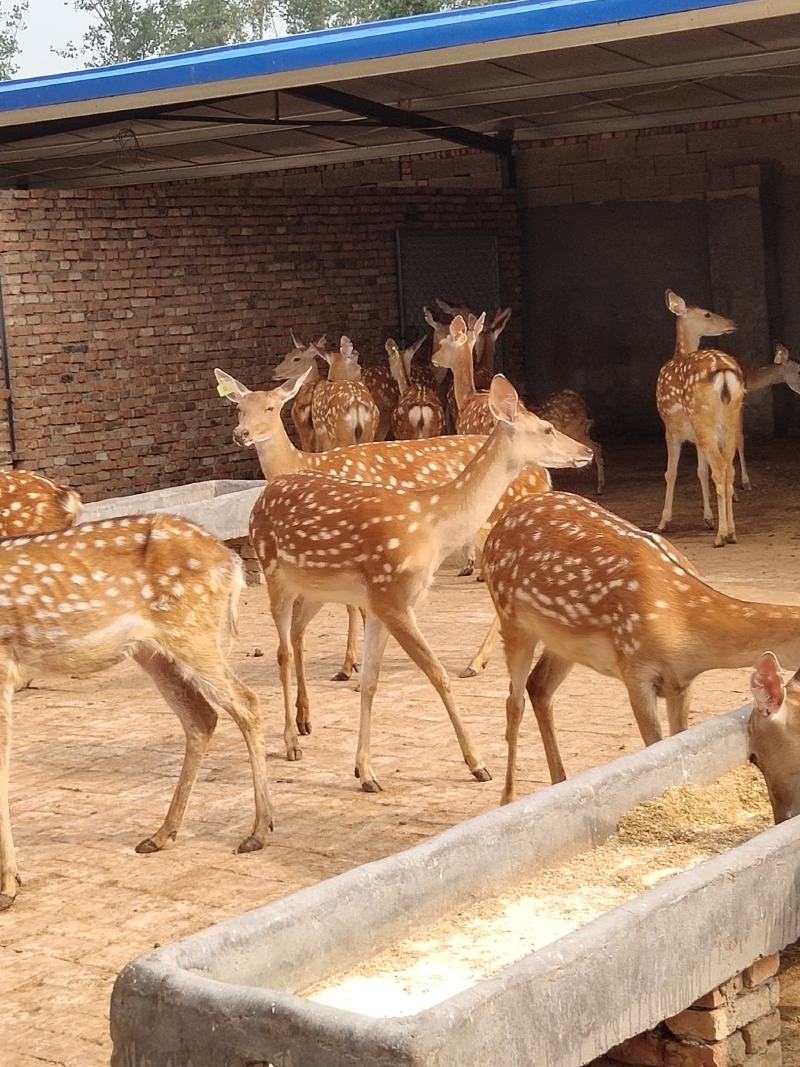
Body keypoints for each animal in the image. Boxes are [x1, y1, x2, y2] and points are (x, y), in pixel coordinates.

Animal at [0, 514, 274, 911]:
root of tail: (230, 560)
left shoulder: (2, 666)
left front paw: (9, 885)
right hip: (152, 649)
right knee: (201, 716)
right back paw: (160, 835)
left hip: (192, 631)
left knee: (246, 702)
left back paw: (257, 832)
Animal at [215, 353, 553, 749]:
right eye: (239, 408)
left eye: (270, 406)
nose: (241, 434)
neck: (301, 464)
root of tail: (544, 477)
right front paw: (341, 674)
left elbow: (356, 609)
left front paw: (350, 667)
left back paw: (476, 661)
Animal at [249, 375, 592, 792]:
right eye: (547, 428)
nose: (586, 451)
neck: (433, 525)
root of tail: (261, 496)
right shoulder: (394, 596)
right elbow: (438, 675)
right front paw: (477, 764)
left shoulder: (382, 602)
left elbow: (371, 682)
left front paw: (365, 772)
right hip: (272, 571)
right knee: (281, 650)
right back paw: (291, 741)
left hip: (315, 586)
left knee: (294, 637)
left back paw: (305, 722)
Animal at [481, 489, 800, 805]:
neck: (683, 625)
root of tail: (500, 523)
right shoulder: (635, 669)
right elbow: (654, 746)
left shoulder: (681, 683)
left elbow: (679, 742)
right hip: (511, 618)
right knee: (514, 701)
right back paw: (507, 797)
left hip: (563, 643)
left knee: (539, 687)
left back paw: (560, 782)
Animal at [657, 289, 744, 548]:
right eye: (707, 313)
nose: (732, 323)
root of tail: (724, 373)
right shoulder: (695, 437)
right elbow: (700, 471)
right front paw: (708, 518)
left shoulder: (670, 428)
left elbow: (671, 473)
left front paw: (663, 522)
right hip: (729, 421)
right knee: (729, 468)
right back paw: (731, 532)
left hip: (703, 418)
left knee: (720, 468)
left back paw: (722, 536)